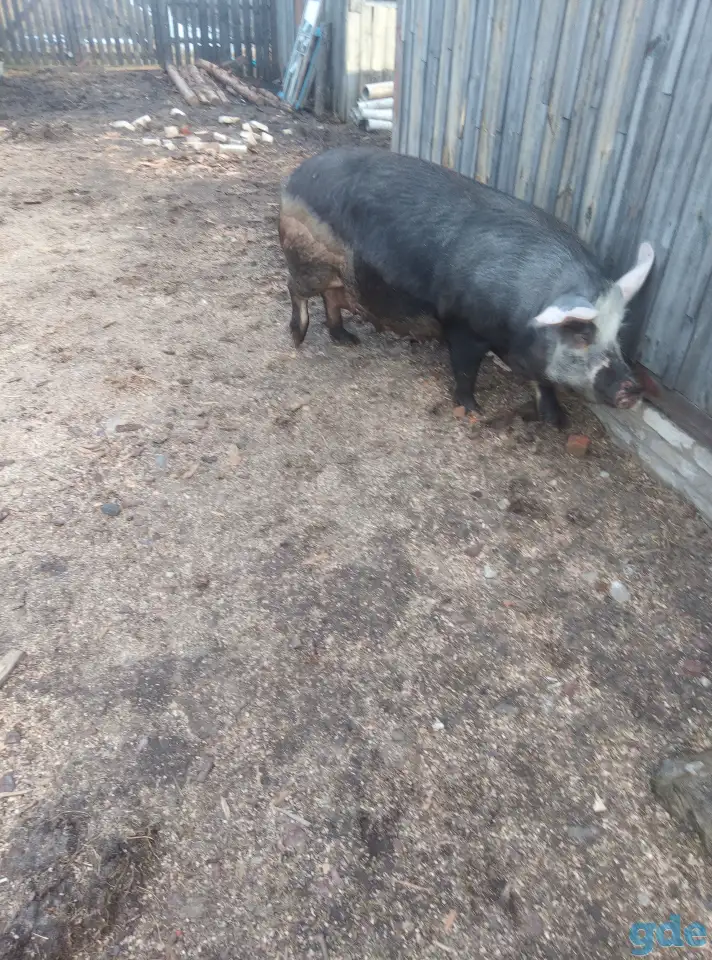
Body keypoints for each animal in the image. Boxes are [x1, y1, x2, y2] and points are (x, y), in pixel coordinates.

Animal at [278, 146, 654, 426]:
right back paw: (298, 337)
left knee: (332, 297)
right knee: (295, 288)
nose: (633, 389)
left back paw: (348, 339)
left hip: (335, 274)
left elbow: (543, 380)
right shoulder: (461, 325)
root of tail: (297, 176)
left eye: (618, 333)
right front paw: (473, 410)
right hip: (307, 260)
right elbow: (464, 369)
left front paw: (558, 423)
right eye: (582, 333)